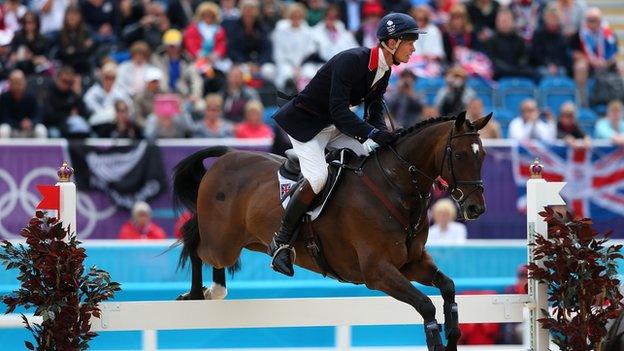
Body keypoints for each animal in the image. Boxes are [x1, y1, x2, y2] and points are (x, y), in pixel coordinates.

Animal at [172, 110, 492, 351]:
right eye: (460, 156)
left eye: (483, 155)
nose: (476, 208)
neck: (395, 185)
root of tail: (227, 155)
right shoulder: (377, 272)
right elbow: (425, 305)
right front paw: (436, 340)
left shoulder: (410, 263)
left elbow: (448, 286)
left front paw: (453, 334)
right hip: (222, 243)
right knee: (197, 246)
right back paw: (200, 293)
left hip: (250, 240)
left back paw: (215, 289)